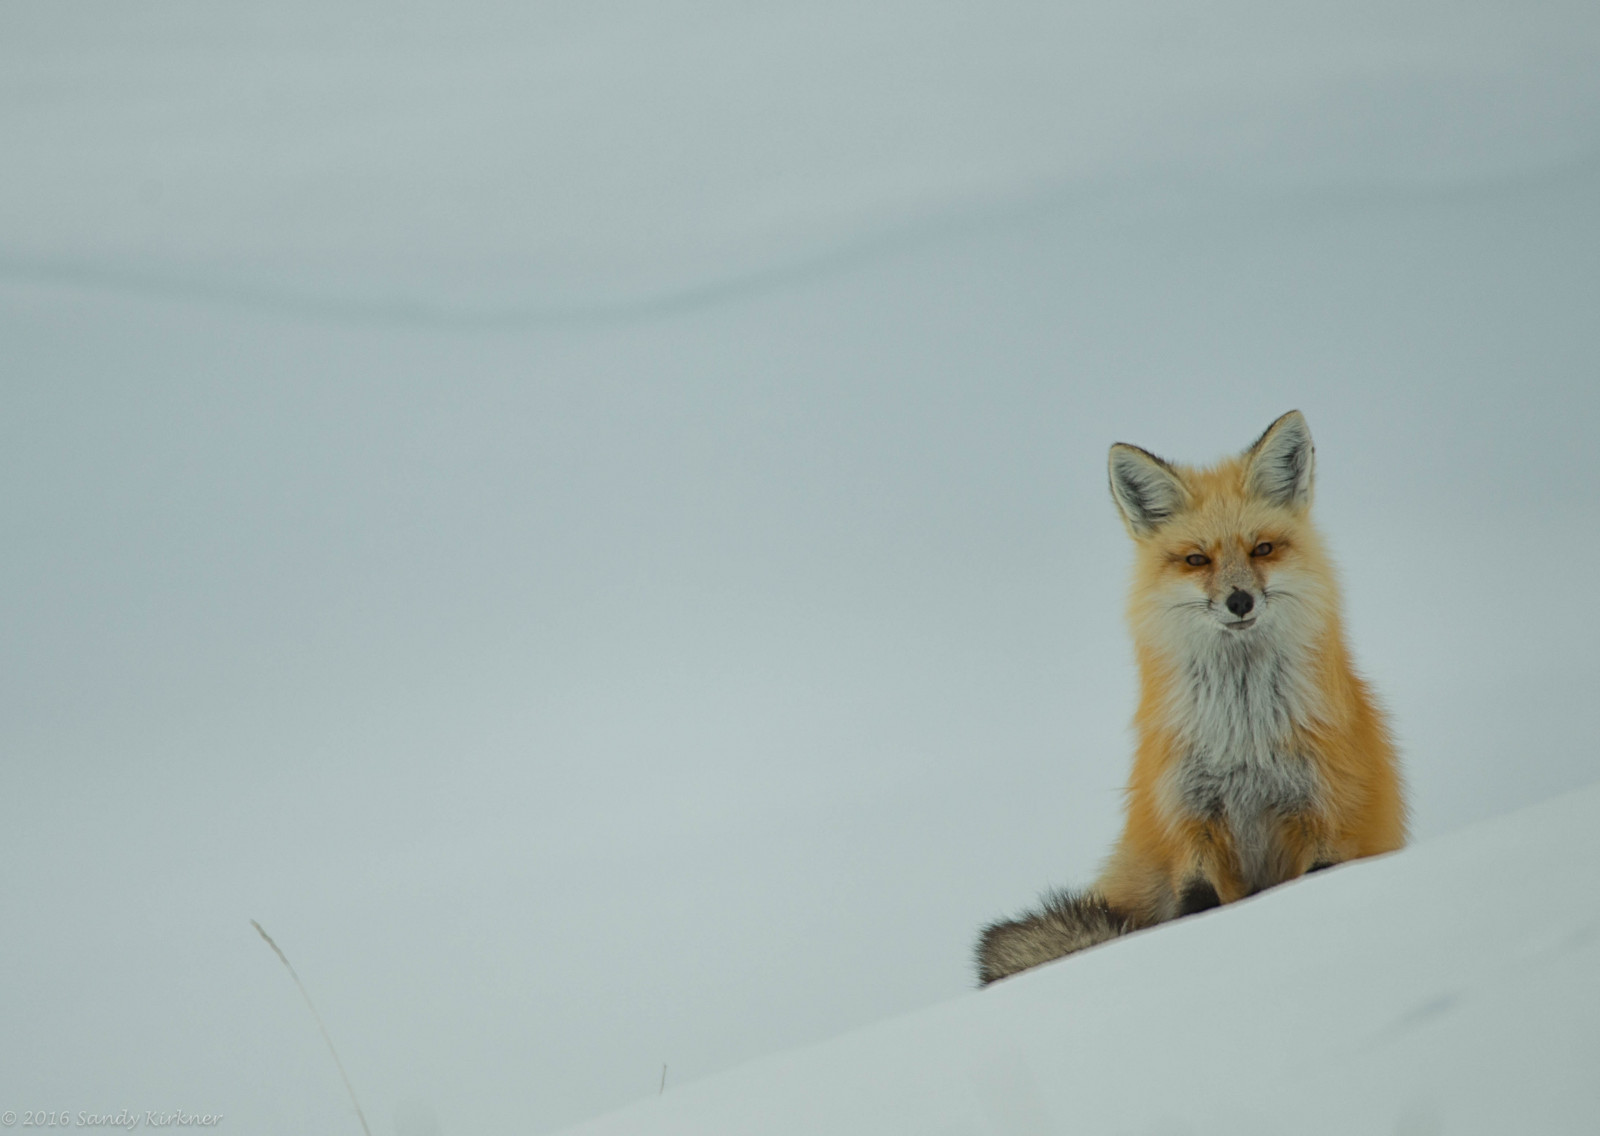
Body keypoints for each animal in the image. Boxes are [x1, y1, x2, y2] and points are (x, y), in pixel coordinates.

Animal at [976, 410, 1406, 984]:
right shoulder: (1191, 821)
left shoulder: (1324, 816)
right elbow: (1196, 905)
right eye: (1196, 559)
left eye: (1262, 549)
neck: (1245, 742)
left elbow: (1319, 873)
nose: (1240, 600)